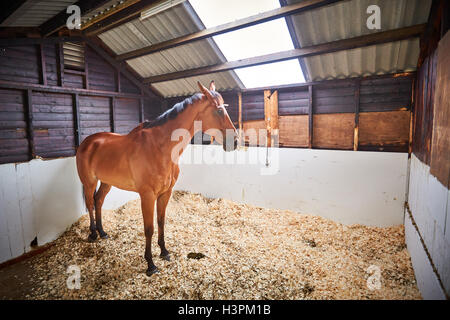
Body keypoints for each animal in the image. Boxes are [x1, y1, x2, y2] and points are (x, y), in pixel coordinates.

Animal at [76, 80, 239, 276]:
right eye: (219, 111)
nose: (235, 141)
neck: (160, 148)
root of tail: (87, 142)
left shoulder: (165, 193)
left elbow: (161, 222)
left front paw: (164, 252)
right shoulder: (147, 196)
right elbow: (149, 229)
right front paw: (150, 264)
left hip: (107, 182)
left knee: (98, 201)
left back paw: (102, 232)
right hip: (89, 182)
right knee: (91, 203)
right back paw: (93, 234)